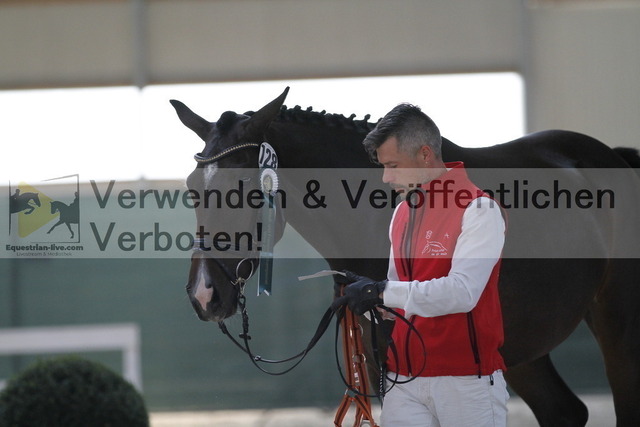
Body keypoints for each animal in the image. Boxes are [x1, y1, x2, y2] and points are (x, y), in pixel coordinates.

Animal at [171, 88, 640, 426]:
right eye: (192, 185)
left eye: (248, 187)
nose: (205, 295)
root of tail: (613, 157)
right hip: (521, 346)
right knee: (564, 412)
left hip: (618, 324)